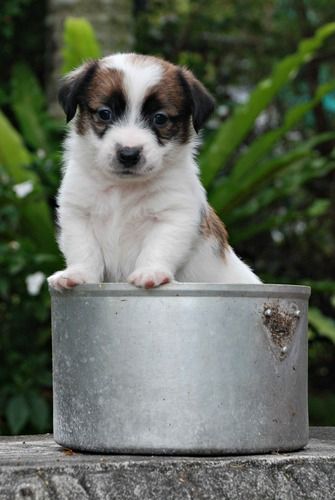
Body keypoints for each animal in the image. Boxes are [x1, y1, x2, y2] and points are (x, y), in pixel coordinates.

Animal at [48, 53, 262, 292]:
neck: (123, 189)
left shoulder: (173, 216)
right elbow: (83, 249)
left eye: (160, 118)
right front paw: (79, 274)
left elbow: (157, 248)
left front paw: (150, 272)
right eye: (105, 113)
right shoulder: (77, 213)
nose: (129, 154)